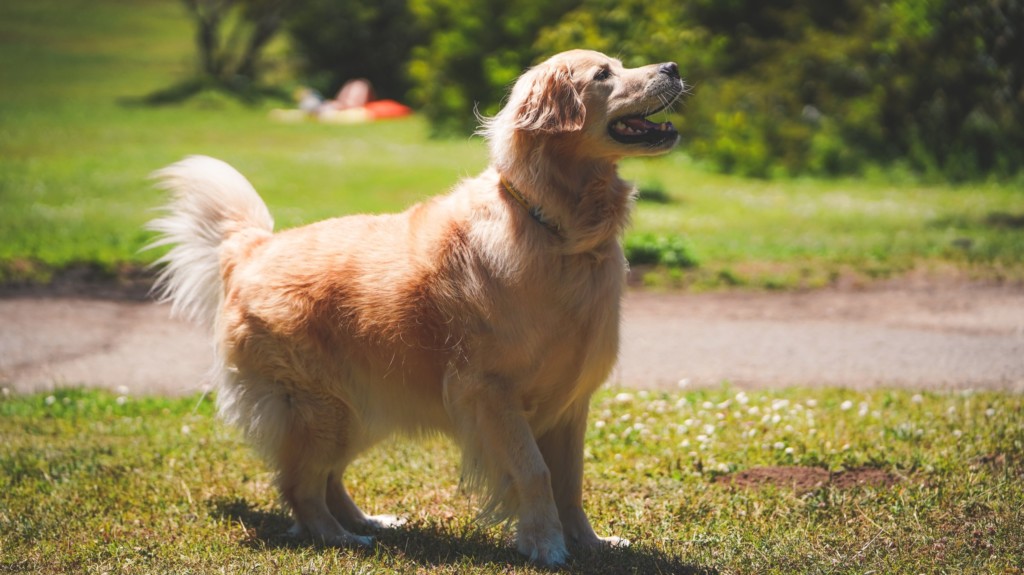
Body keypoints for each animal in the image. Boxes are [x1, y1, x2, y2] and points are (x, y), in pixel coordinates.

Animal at [149, 50, 679, 564]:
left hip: (359, 409)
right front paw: (546, 546)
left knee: (327, 479)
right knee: (302, 486)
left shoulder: (570, 401)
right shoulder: (490, 393)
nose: (673, 68)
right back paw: (341, 538)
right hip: (320, 409)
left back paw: (370, 523)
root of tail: (253, 247)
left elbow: (570, 482)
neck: (557, 229)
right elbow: (535, 472)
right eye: (603, 74)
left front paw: (590, 543)